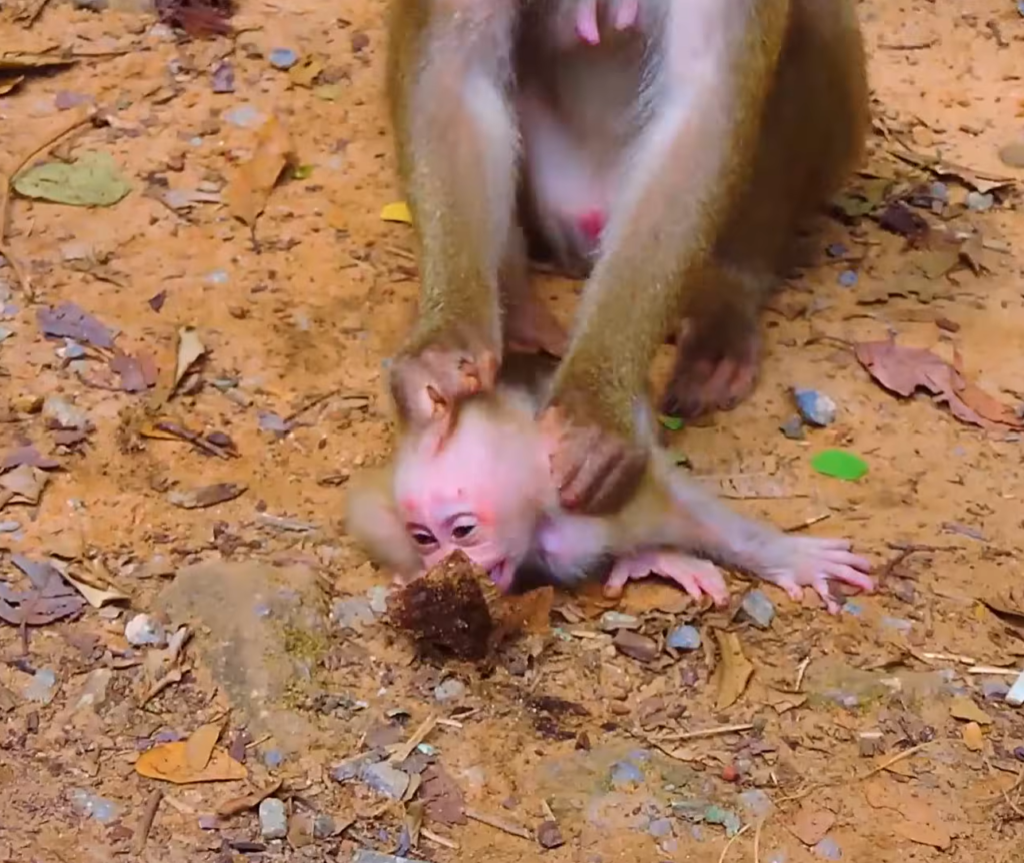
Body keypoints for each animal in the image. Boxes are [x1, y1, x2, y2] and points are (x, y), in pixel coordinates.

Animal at [346, 356, 873, 615]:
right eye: (423, 538)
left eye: (462, 532)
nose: (442, 561)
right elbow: (367, 511)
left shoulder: (590, 498)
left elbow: (680, 505)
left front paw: (788, 555)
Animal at [384, 0, 870, 516]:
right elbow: (452, 68)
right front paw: (444, 347)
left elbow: (701, 104)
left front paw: (595, 409)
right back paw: (514, 302)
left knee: (816, 16)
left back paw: (727, 301)